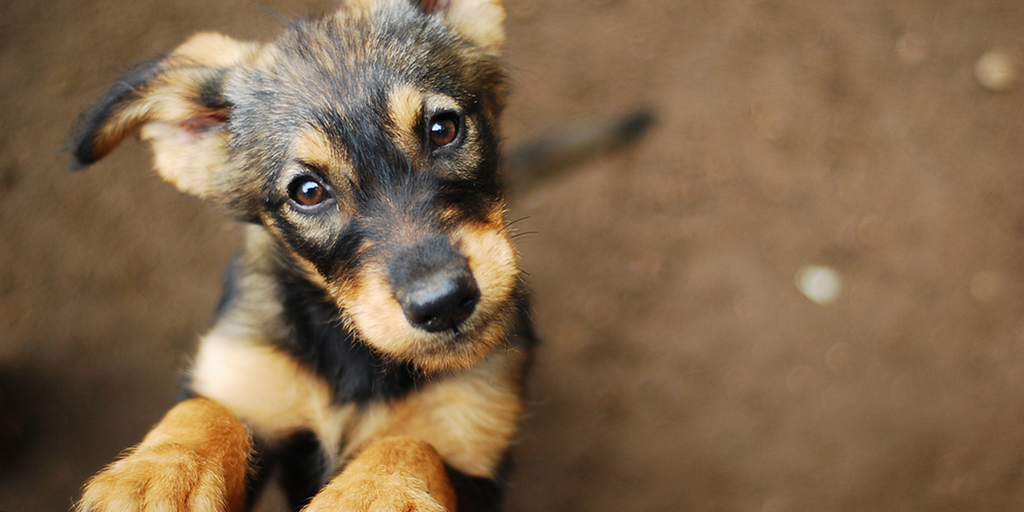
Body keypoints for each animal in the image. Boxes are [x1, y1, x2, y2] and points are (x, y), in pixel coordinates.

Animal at [70, 1, 536, 512]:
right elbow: (205, 408)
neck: (356, 360)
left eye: (443, 129)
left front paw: (369, 495)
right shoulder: (246, 373)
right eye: (308, 192)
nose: (444, 303)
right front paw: (156, 477)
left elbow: (410, 445)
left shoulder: (474, 450)